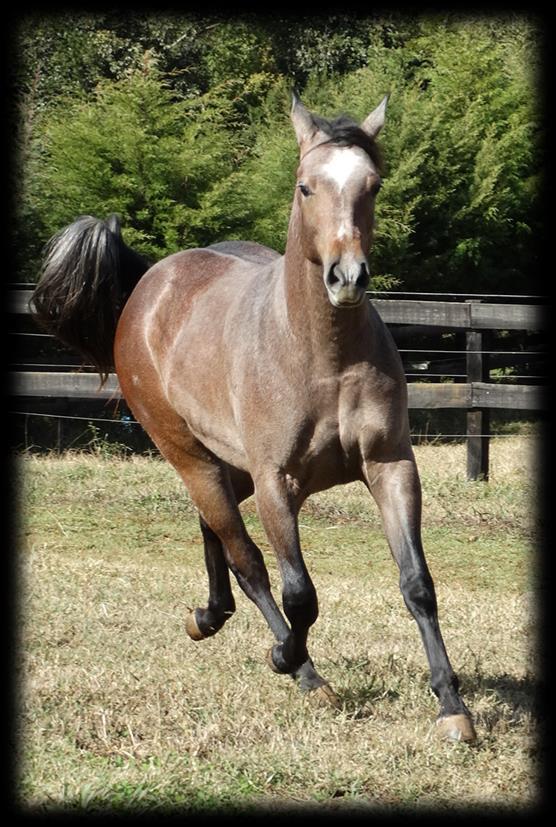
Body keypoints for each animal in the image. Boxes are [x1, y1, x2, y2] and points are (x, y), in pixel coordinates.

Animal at [30, 92, 476, 744]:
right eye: (305, 186)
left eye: (372, 185)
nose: (347, 276)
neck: (321, 357)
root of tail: (149, 284)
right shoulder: (276, 484)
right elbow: (299, 593)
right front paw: (287, 658)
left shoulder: (391, 465)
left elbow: (418, 583)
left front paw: (451, 706)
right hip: (193, 459)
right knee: (247, 561)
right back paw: (299, 668)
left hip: (227, 468)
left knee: (212, 531)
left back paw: (207, 617)